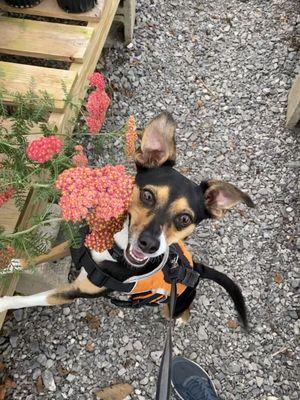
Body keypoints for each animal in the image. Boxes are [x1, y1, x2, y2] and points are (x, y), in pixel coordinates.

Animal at [0, 111, 254, 326]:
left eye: (184, 219)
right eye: (148, 195)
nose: (149, 244)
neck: (113, 247)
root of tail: (194, 268)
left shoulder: (75, 291)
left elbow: (28, 299)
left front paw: (3, 303)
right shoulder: (77, 242)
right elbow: (40, 256)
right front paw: (11, 265)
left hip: (177, 302)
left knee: (180, 309)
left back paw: (182, 318)